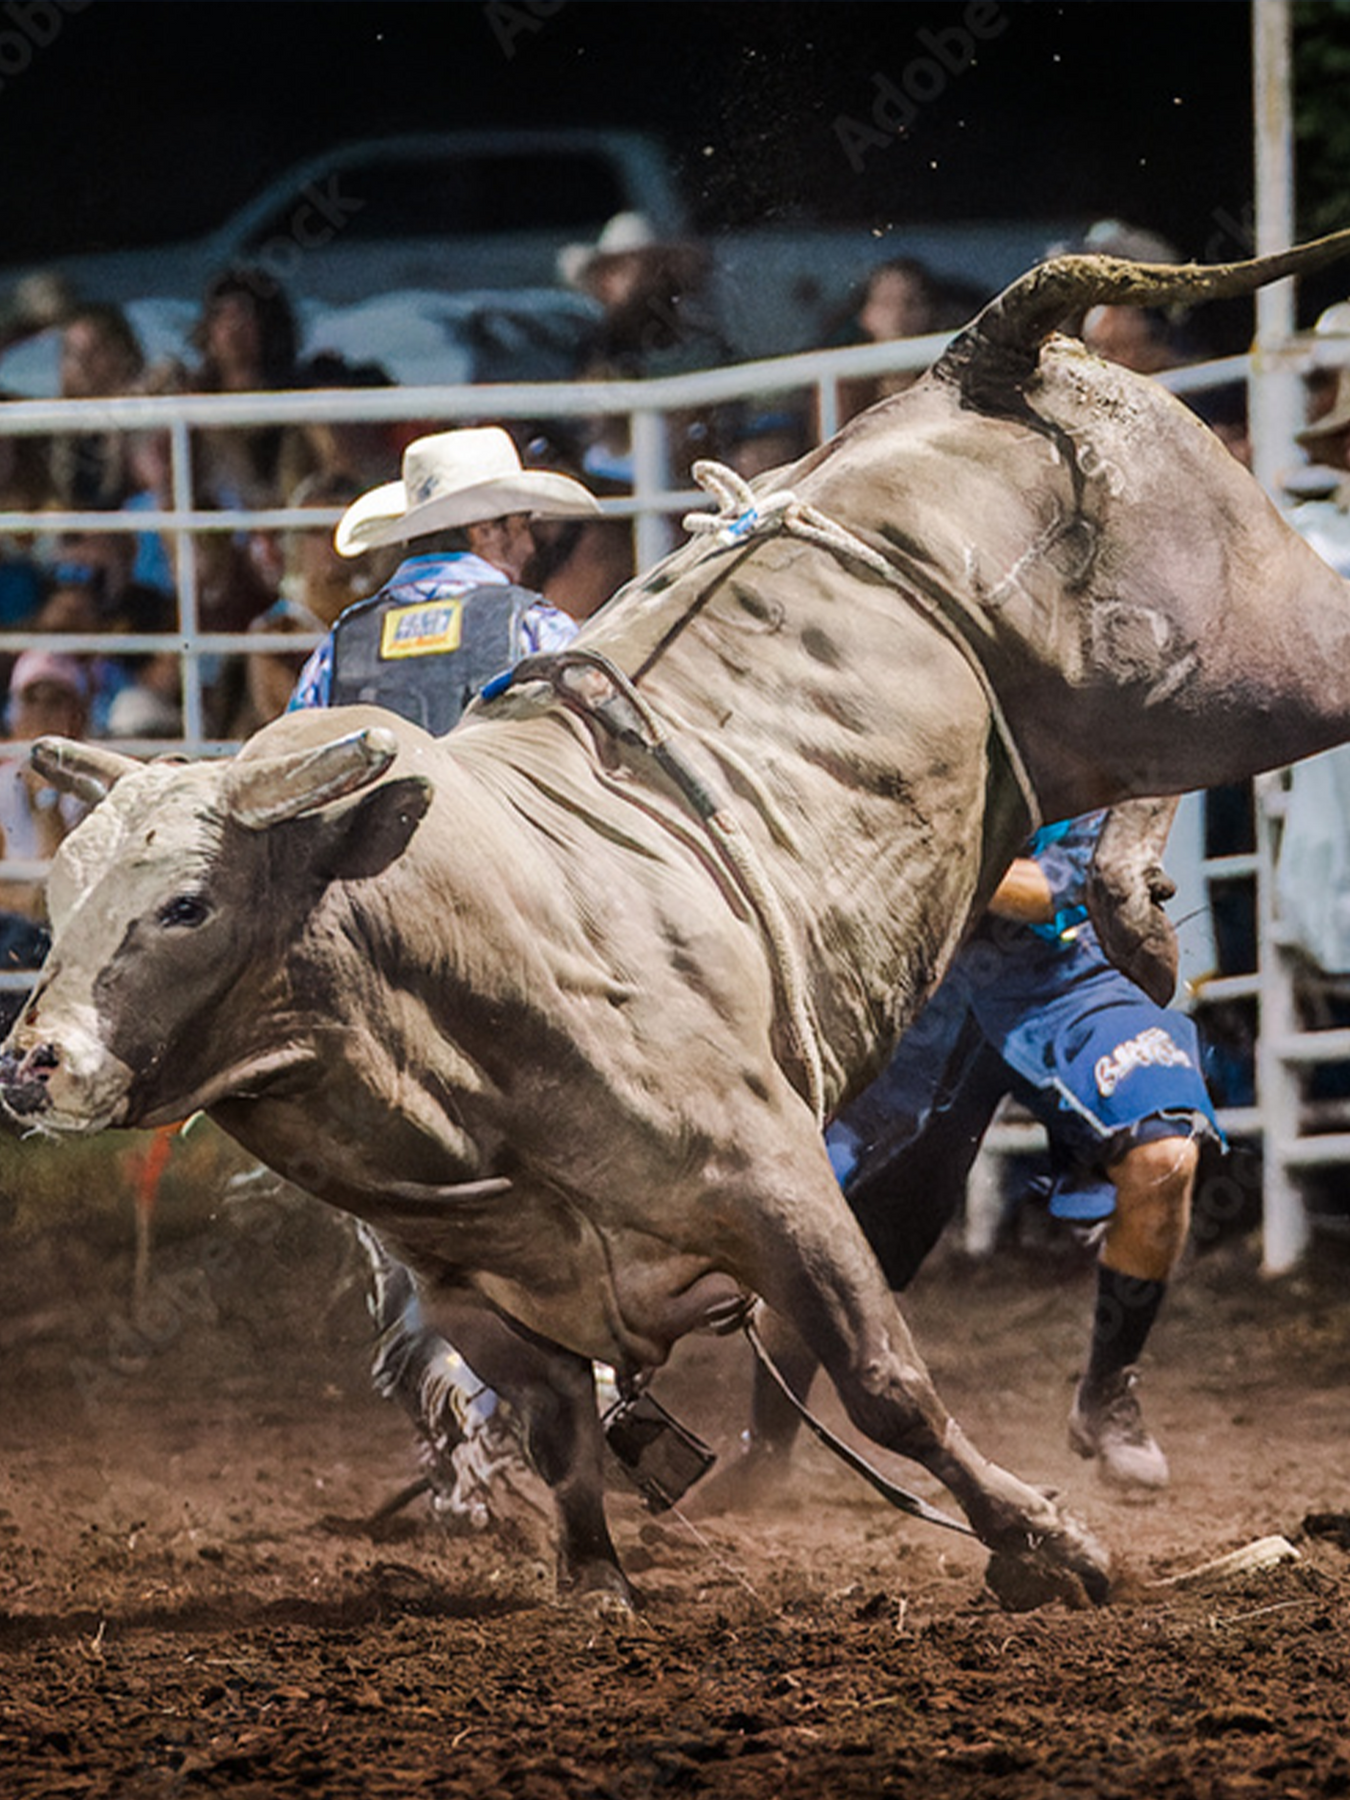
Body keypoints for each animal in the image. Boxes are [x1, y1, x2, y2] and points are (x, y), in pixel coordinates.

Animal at [7, 230, 1350, 1612]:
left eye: (186, 903)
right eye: (54, 902)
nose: (32, 1062)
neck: (440, 1003)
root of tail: (983, 362)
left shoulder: (777, 1179)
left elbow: (887, 1385)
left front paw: (1046, 1544)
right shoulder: (475, 1290)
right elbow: (557, 1428)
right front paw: (595, 1579)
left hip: (1265, 656)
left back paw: (1133, 909)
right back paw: (1133, 909)